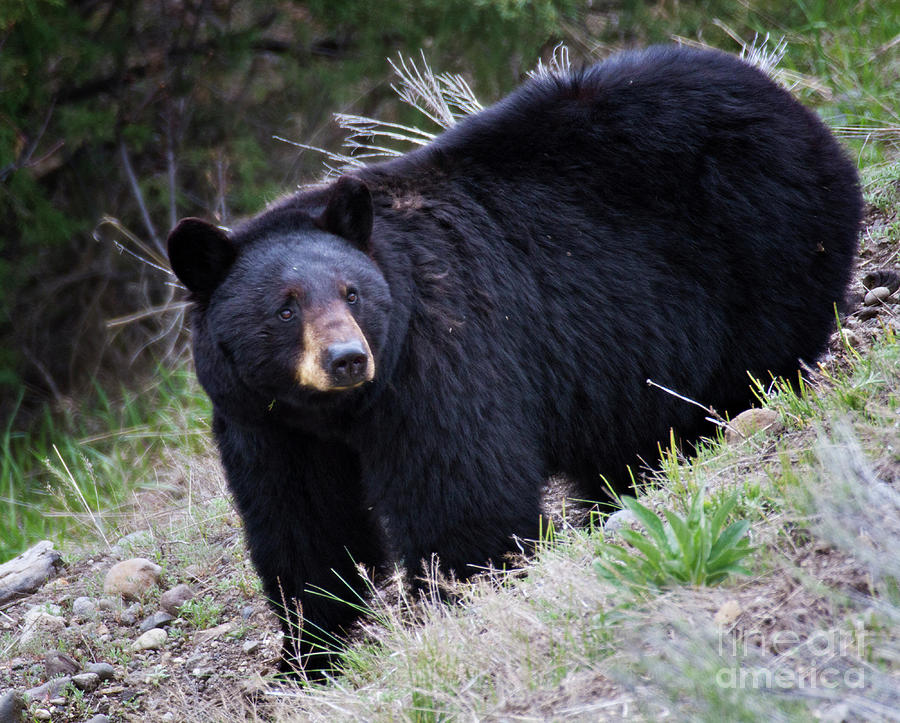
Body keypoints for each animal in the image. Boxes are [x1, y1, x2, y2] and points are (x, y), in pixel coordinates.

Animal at [165, 46, 860, 680]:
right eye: (286, 308)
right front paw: (308, 654)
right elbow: (303, 525)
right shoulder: (264, 421)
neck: (335, 410)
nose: (347, 358)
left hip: (764, 242)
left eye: (351, 292)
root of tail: (787, 99)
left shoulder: (437, 358)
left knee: (746, 368)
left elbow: (463, 489)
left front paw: (459, 601)